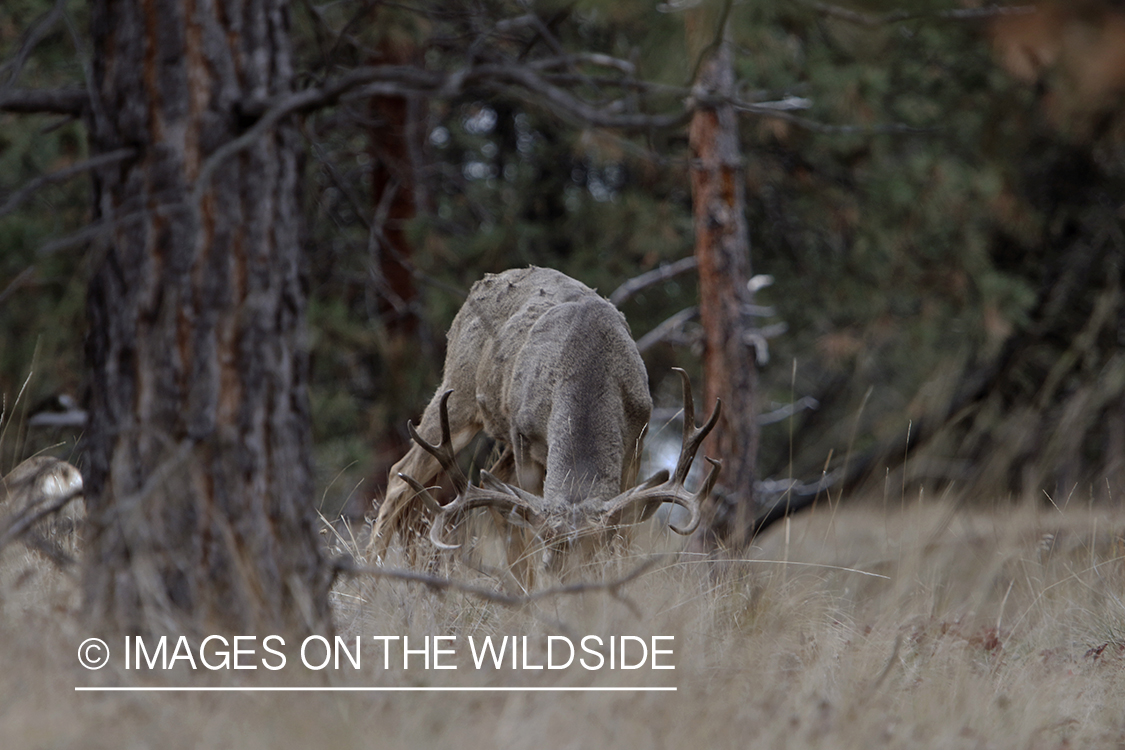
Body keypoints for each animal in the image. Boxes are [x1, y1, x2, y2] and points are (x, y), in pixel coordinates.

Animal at [369, 266, 721, 579]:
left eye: (594, 555)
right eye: (550, 556)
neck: (589, 364)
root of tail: (480, 285)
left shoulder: (637, 439)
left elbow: (624, 533)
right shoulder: (526, 439)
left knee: (489, 483)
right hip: (458, 394)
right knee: (401, 475)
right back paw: (369, 580)